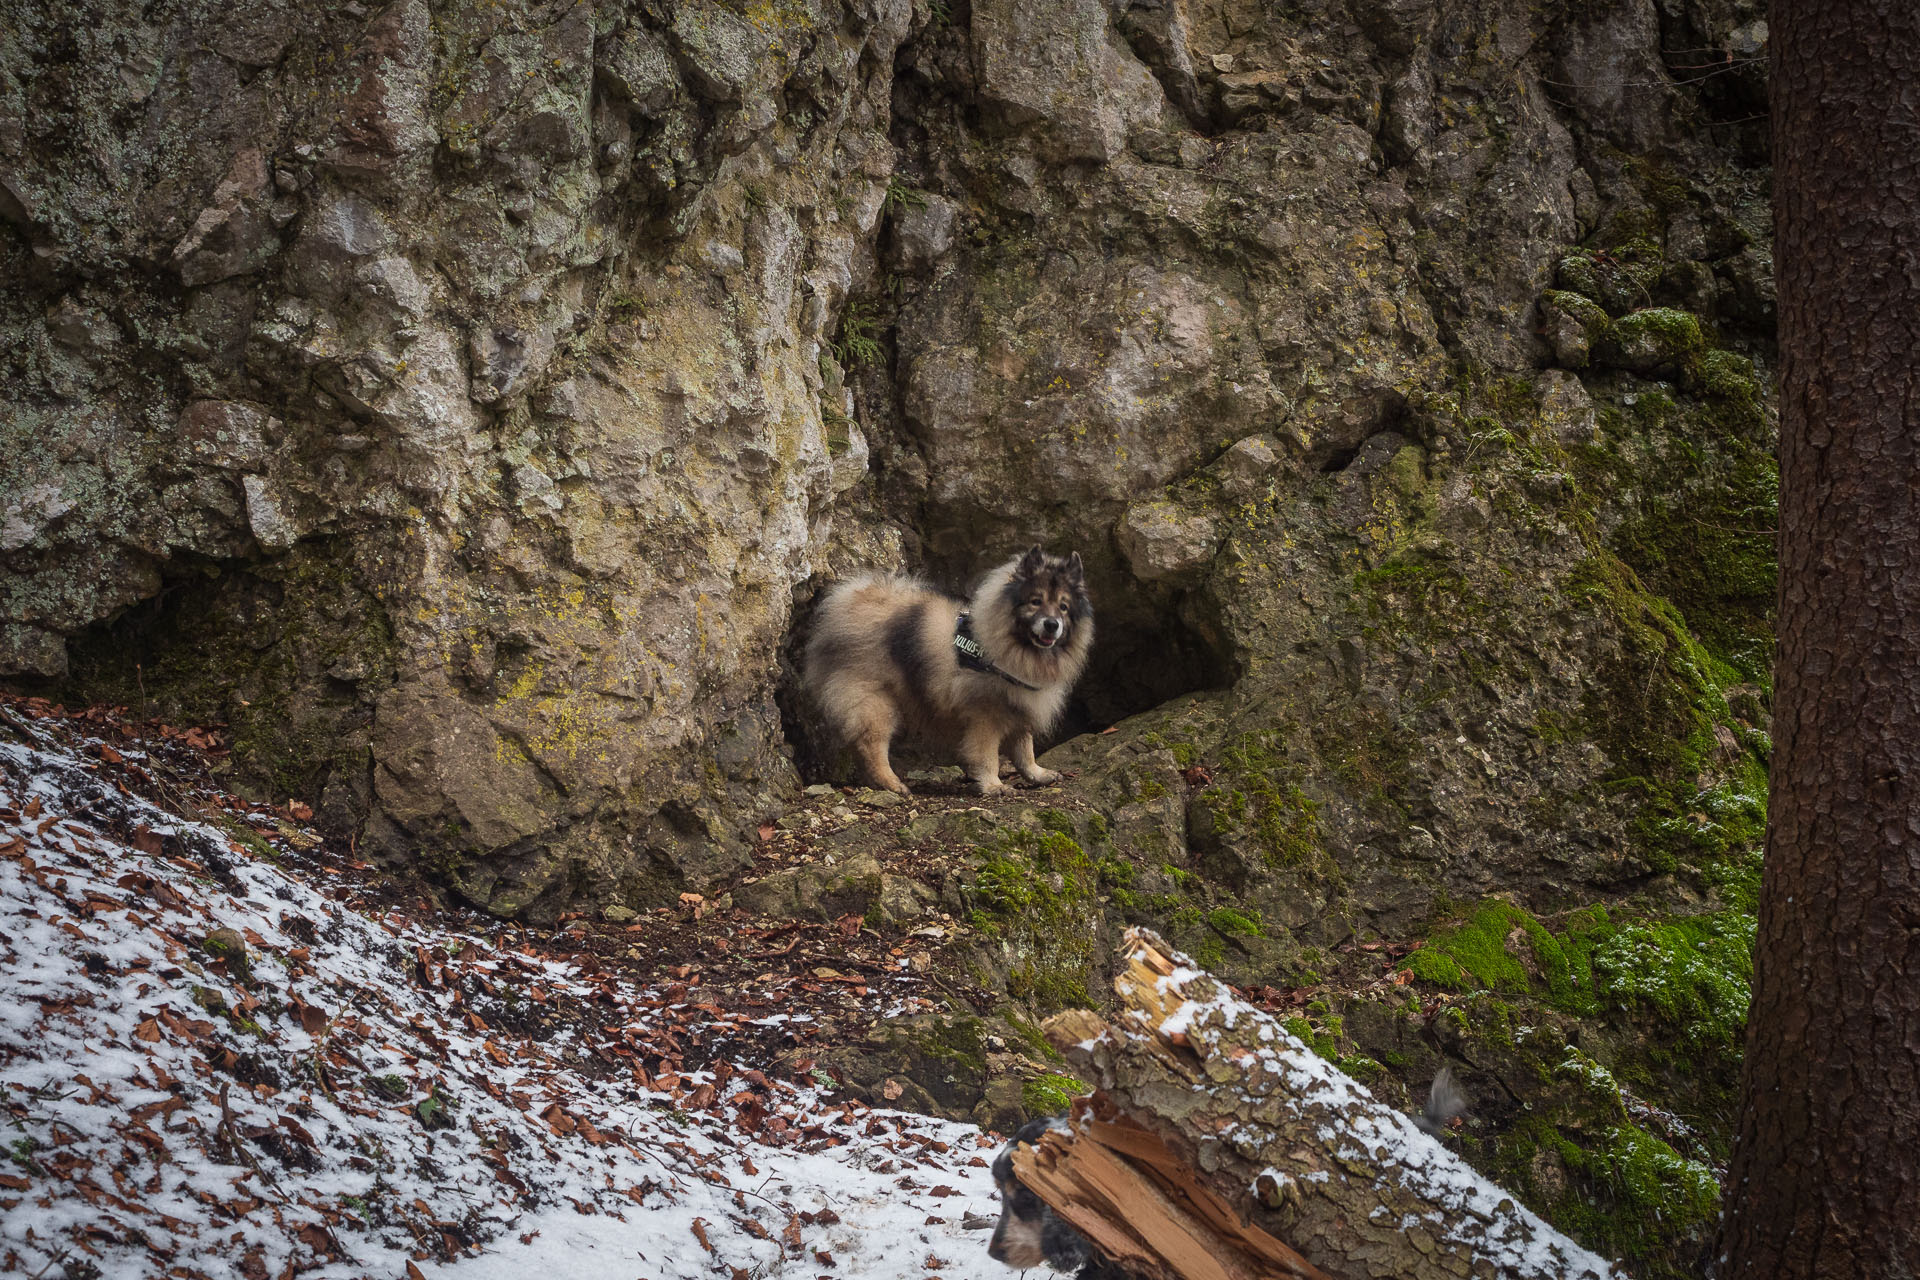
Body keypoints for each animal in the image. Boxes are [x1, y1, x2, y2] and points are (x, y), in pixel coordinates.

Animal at [798, 545, 1098, 794]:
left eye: (1063, 607)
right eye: (1036, 601)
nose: (1052, 624)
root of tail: (848, 607)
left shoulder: (1020, 707)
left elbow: (1025, 750)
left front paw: (1037, 774)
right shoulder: (985, 716)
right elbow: (987, 755)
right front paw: (993, 785)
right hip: (875, 703)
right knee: (871, 745)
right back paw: (893, 783)